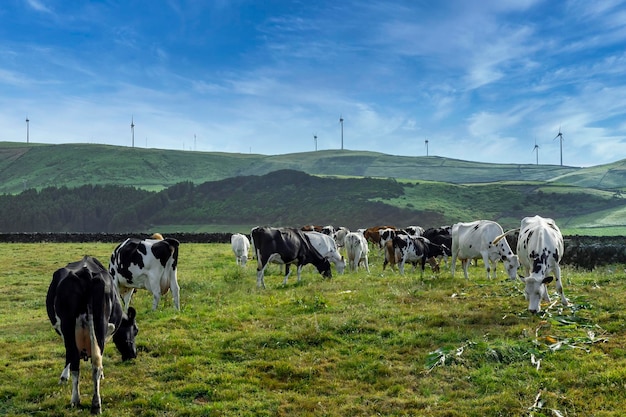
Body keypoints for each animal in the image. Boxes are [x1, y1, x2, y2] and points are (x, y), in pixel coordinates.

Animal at [46, 255, 138, 412]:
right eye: (136, 330)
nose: (133, 354)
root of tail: (86, 273)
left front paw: (64, 376)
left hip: (70, 324)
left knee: (77, 360)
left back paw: (77, 400)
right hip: (97, 324)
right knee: (95, 362)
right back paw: (95, 403)